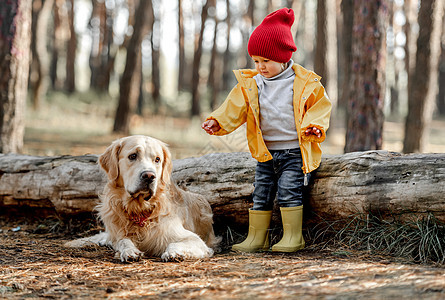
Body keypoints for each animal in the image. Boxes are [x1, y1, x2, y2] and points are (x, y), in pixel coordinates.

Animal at [64, 135, 219, 262]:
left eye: (157, 159)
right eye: (132, 156)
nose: (149, 176)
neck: (140, 209)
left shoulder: (196, 241)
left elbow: (174, 243)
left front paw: (174, 253)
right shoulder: (120, 234)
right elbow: (123, 241)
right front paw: (129, 251)